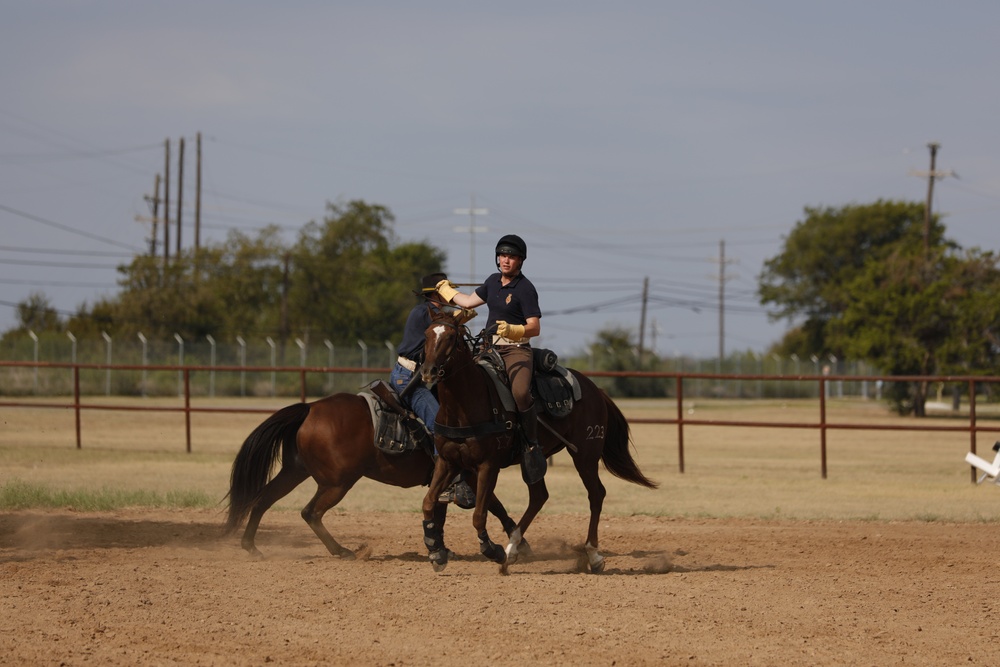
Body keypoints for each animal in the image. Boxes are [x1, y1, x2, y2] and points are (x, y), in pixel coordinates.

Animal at [225, 392, 524, 560]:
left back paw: (251, 546)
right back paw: (342, 551)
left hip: (294, 472)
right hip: (337, 483)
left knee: (263, 500)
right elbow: (493, 504)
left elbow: (439, 511)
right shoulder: (473, 472)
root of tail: (310, 408)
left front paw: (438, 546)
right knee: (310, 512)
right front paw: (518, 541)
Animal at [418, 312, 660, 576]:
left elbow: (479, 514)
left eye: (451, 337)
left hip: (585, 455)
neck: (464, 405)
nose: (428, 371)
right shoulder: (448, 462)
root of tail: (596, 389)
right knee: (539, 496)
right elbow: (429, 502)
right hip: (534, 462)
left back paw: (592, 555)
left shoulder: (488, 466)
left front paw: (492, 550)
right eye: (427, 335)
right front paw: (436, 551)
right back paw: (513, 550)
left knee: (596, 494)